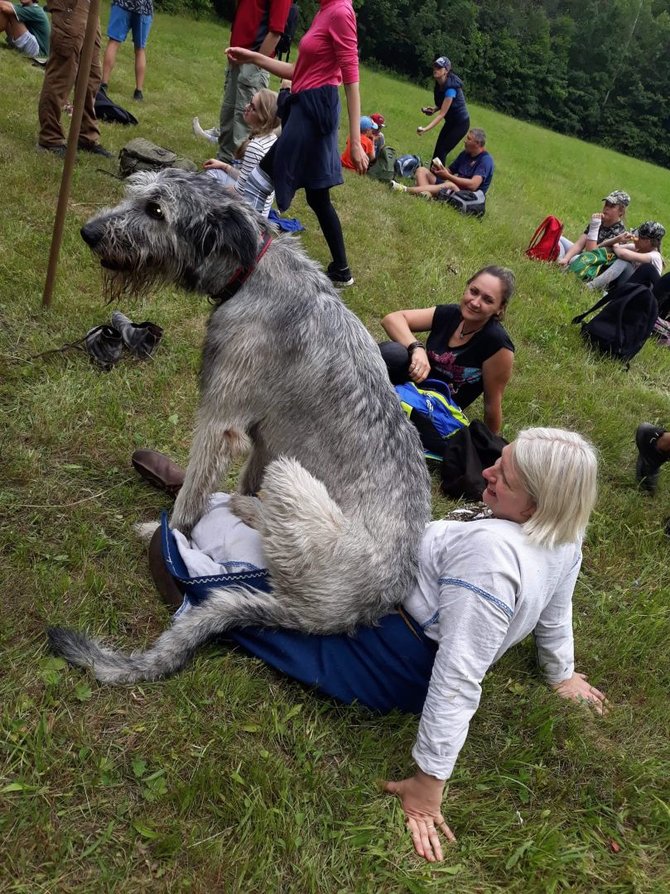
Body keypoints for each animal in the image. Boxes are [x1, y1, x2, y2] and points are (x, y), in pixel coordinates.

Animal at [48, 170, 430, 688]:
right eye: (135, 192)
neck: (250, 275)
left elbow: (189, 498)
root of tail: (358, 609)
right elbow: (243, 469)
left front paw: (161, 532)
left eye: (156, 210)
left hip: (291, 477)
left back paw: (249, 509)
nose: (88, 232)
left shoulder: (219, 419)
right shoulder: (262, 437)